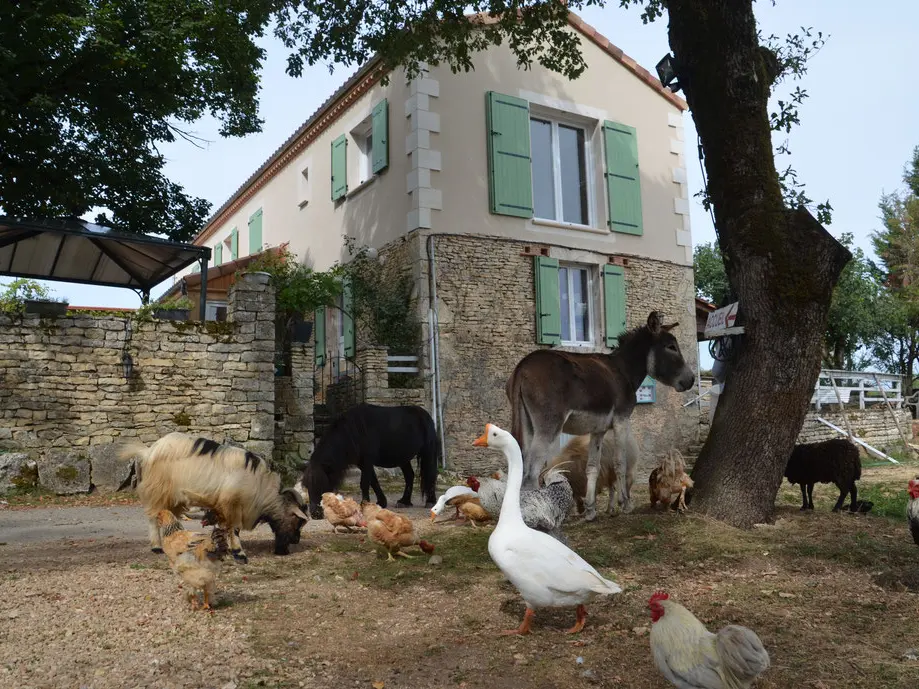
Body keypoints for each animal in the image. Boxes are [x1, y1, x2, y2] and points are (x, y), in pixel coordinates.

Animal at [120, 432, 310, 560]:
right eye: (298, 521)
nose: (295, 541)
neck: (261, 487)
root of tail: (148, 451)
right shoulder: (233, 504)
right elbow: (234, 528)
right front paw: (239, 553)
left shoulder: (222, 507)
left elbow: (223, 528)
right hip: (158, 492)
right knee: (153, 518)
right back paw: (156, 547)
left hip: (174, 498)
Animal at [304, 404, 440, 516]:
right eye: (307, 485)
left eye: (321, 483)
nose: (315, 513)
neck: (354, 430)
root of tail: (426, 415)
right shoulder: (362, 463)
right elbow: (373, 481)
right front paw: (381, 502)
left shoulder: (367, 460)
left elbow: (365, 482)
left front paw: (364, 505)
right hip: (403, 458)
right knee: (409, 476)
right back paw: (404, 501)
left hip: (428, 452)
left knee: (430, 474)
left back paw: (430, 501)